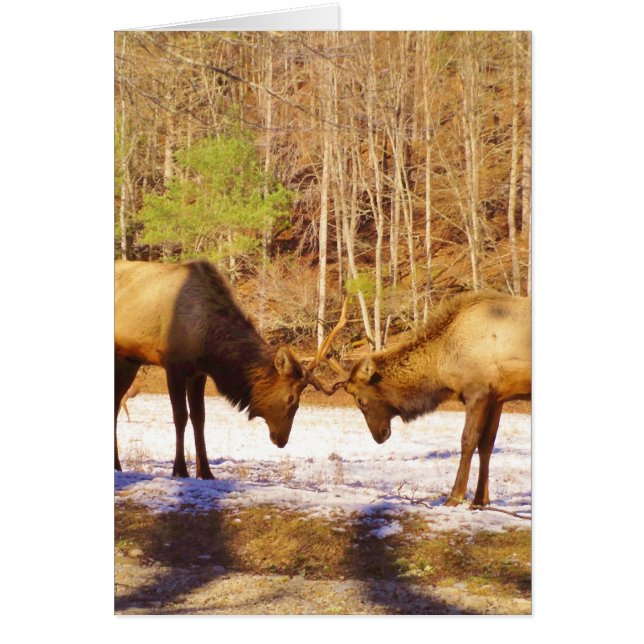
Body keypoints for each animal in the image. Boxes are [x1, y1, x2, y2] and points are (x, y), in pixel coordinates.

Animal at [115, 259, 337, 479]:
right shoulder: (173, 365)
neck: (209, 346)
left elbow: (199, 418)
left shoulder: (198, 372)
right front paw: (180, 470)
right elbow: (180, 416)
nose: (282, 440)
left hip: (129, 361)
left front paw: (205, 472)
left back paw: (117, 465)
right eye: (291, 399)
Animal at [327, 291, 531, 508]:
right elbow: (487, 445)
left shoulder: (478, 392)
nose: (379, 436)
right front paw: (479, 500)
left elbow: (468, 440)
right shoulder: (497, 397)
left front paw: (455, 497)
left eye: (361, 401)